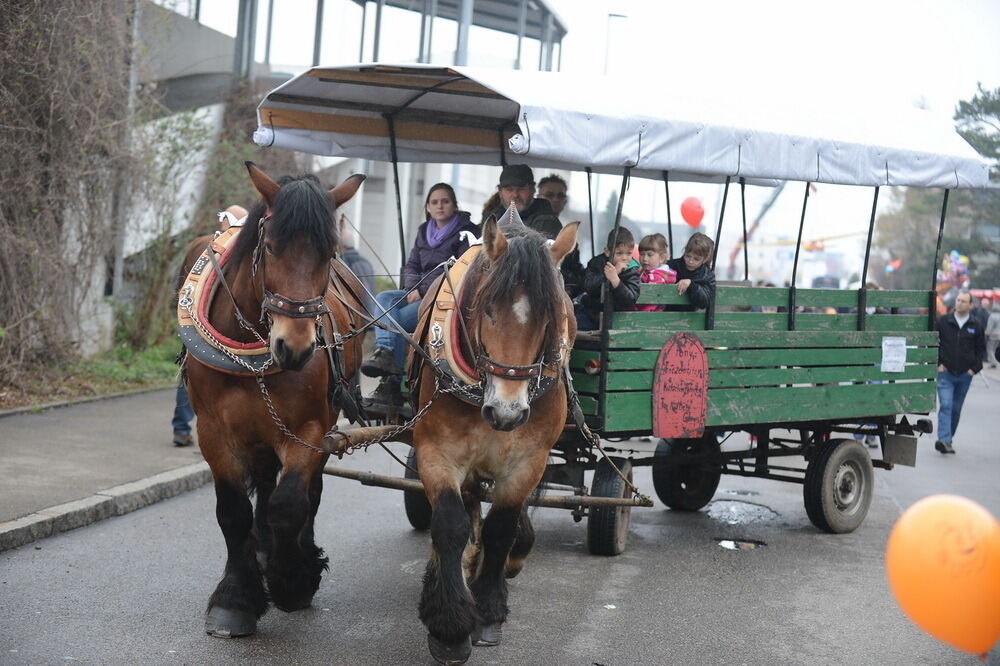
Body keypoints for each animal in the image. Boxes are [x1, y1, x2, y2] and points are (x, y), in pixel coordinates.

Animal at [182, 163, 366, 636]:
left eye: (330, 252)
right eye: (270, 246)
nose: (295, 348)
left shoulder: (308, 430)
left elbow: (290, 504)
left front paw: (291, 581)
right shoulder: (213, 432)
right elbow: (233, 513)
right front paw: (236, 599)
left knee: (304, 492)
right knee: (264, 485)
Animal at [410, 217, 580, 660]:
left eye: (550, 318)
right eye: (487, 309)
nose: (507, 412)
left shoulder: (528, 461)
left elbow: (501, 528)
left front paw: (487, 611)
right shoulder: (437, 452)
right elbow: (449, 524)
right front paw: (449, 625)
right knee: (468, 506)